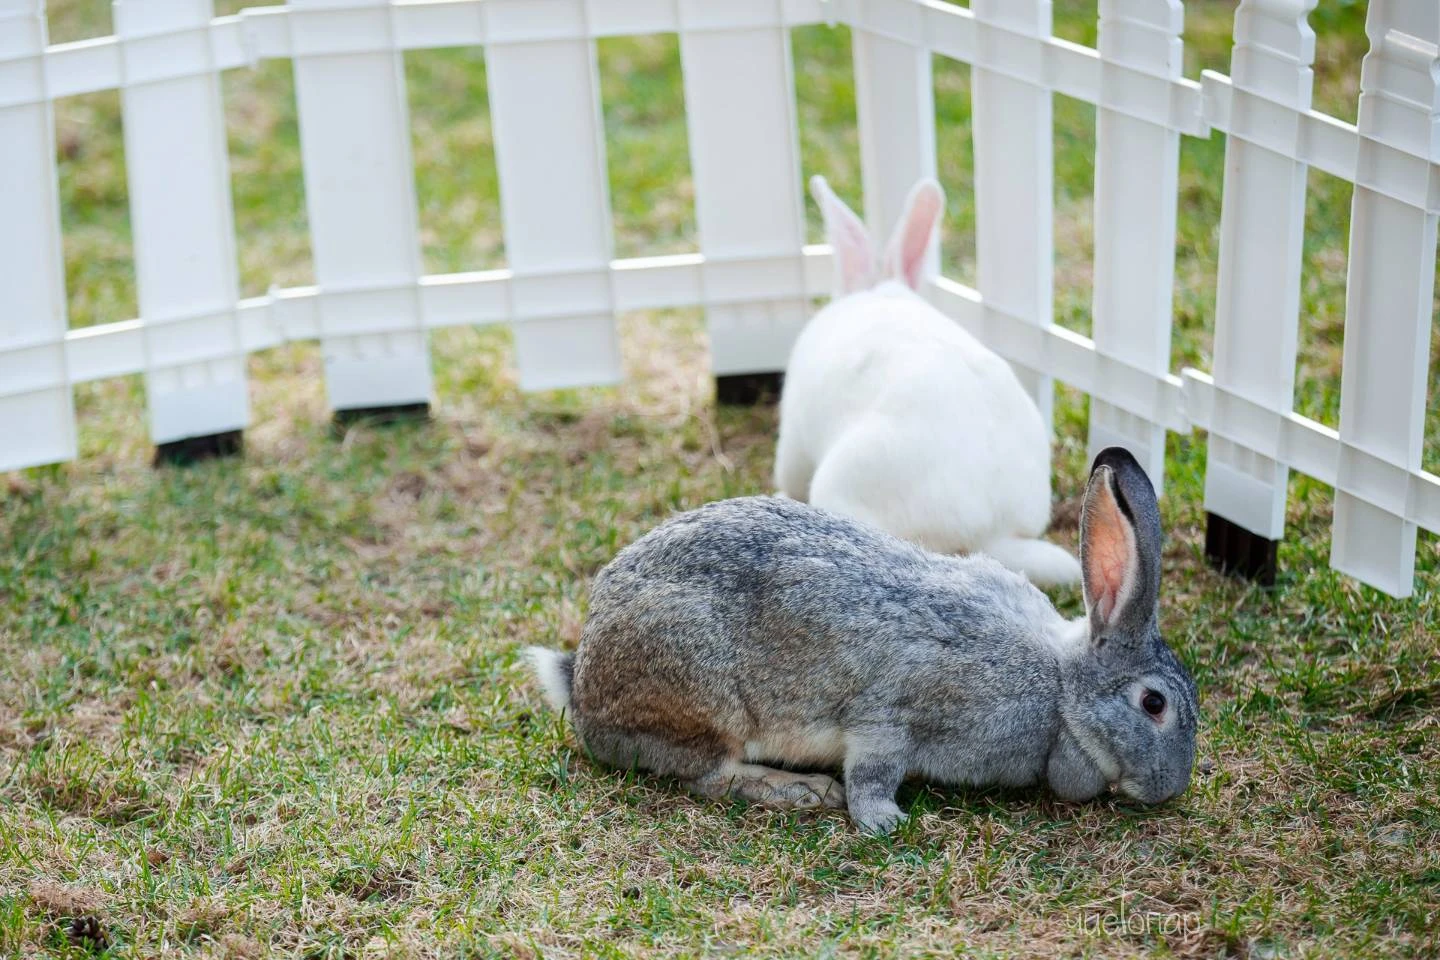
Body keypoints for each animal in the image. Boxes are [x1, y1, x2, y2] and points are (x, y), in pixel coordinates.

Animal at [524, 451, 1198, 834]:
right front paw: (885, 822)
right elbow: (874, 768)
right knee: (708, 775)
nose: (1171, 788)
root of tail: (583, 684)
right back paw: (799, 791)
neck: (1060, 687)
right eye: (1154, 704)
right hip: (705, 696)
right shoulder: (898, 716)